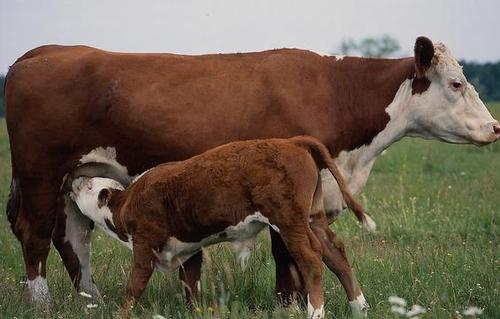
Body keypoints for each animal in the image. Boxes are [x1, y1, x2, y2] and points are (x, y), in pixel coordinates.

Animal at [70, 136, 372, 318]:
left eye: (89, 185)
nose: (74, 181)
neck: (126, 203)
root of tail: (292, 141)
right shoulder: (188, 250)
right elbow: (190, 284)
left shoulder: (145, 245)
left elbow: (134, 286)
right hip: (312, 217)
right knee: (335, 252)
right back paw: (359, 307)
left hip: (289, 221)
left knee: (310, 258)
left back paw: (316, 311)